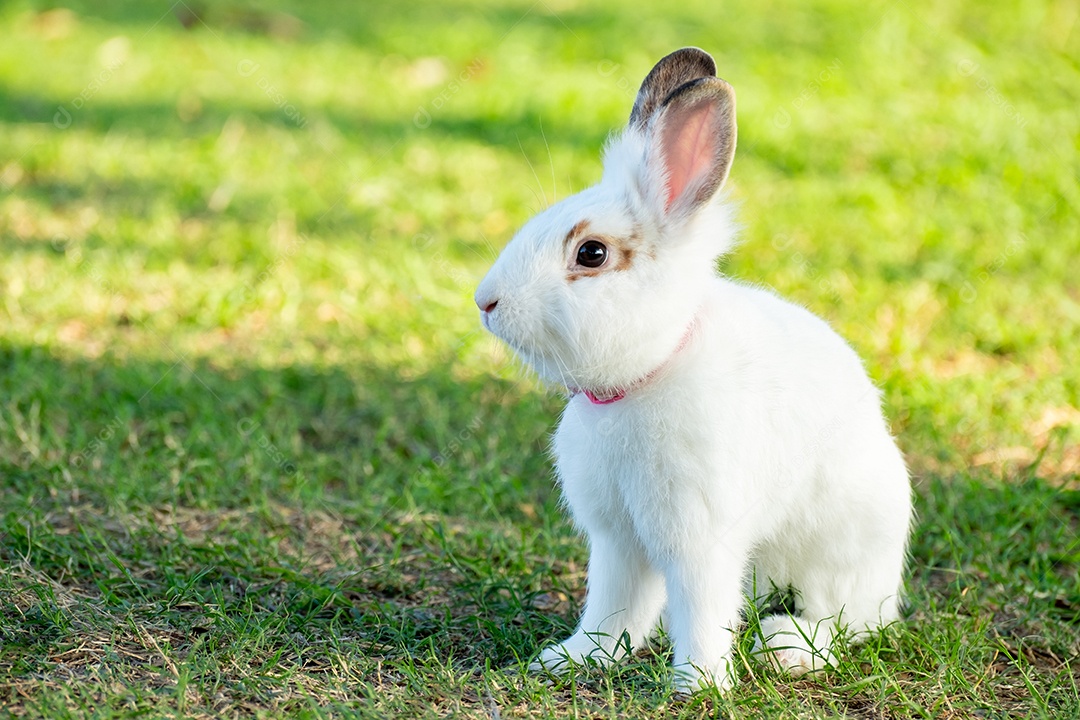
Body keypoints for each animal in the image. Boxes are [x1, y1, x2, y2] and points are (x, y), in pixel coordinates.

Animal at [473, 46, 911, 690]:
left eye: (591, 254)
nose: (486, 302)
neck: (646, 375)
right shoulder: (617, 539)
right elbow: (613, 607)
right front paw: (575, 658)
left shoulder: (701, 538)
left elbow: (701, 610)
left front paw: (698, 684)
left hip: (841, 556)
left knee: (847, 623)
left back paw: (786, 648)